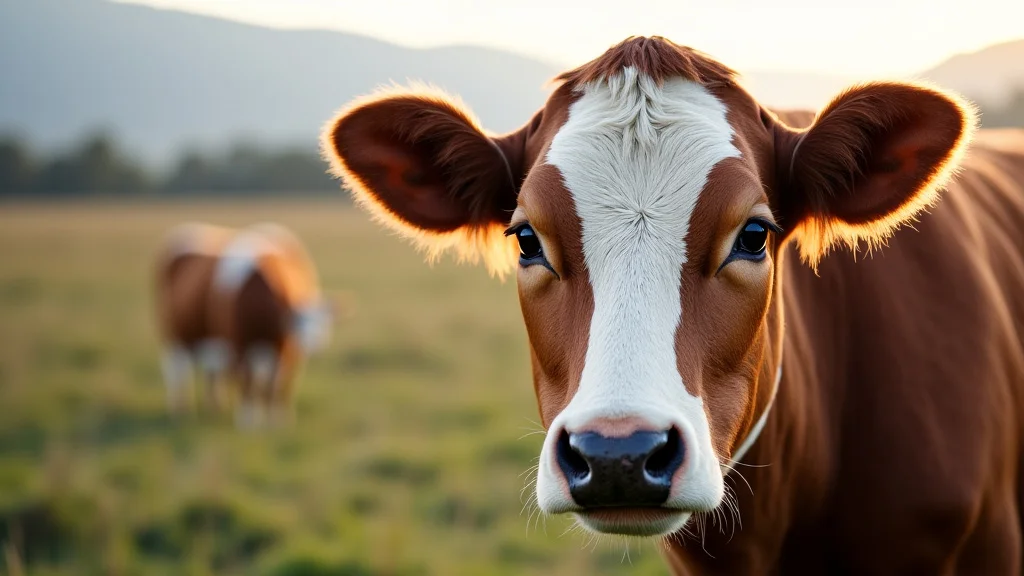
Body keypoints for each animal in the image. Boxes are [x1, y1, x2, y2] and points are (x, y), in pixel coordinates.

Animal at [154, 222, 336, 426]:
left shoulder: (284, 350)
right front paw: (249, 420)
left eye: (325, 323)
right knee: (178, 371)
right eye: (298, 323)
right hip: (174, 338)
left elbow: (277, 384)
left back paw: (215, 407)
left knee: (212, 374)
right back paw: (181, 411)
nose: (316, 343)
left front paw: (278, 420)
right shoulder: (239, 345)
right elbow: (248, 380)